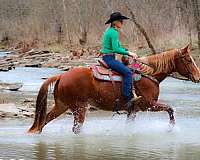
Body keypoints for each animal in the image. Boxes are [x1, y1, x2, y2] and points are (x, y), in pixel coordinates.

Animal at [28, 44, 200, 134]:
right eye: (188, 60)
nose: (198, 77)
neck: (148, 74)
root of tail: (61, 76)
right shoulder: (148, 104)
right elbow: (170, 109)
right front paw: (171, 128)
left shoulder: (133, 109)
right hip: (79, 108)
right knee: (76, 129)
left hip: (62, 106)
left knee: (43, 122)